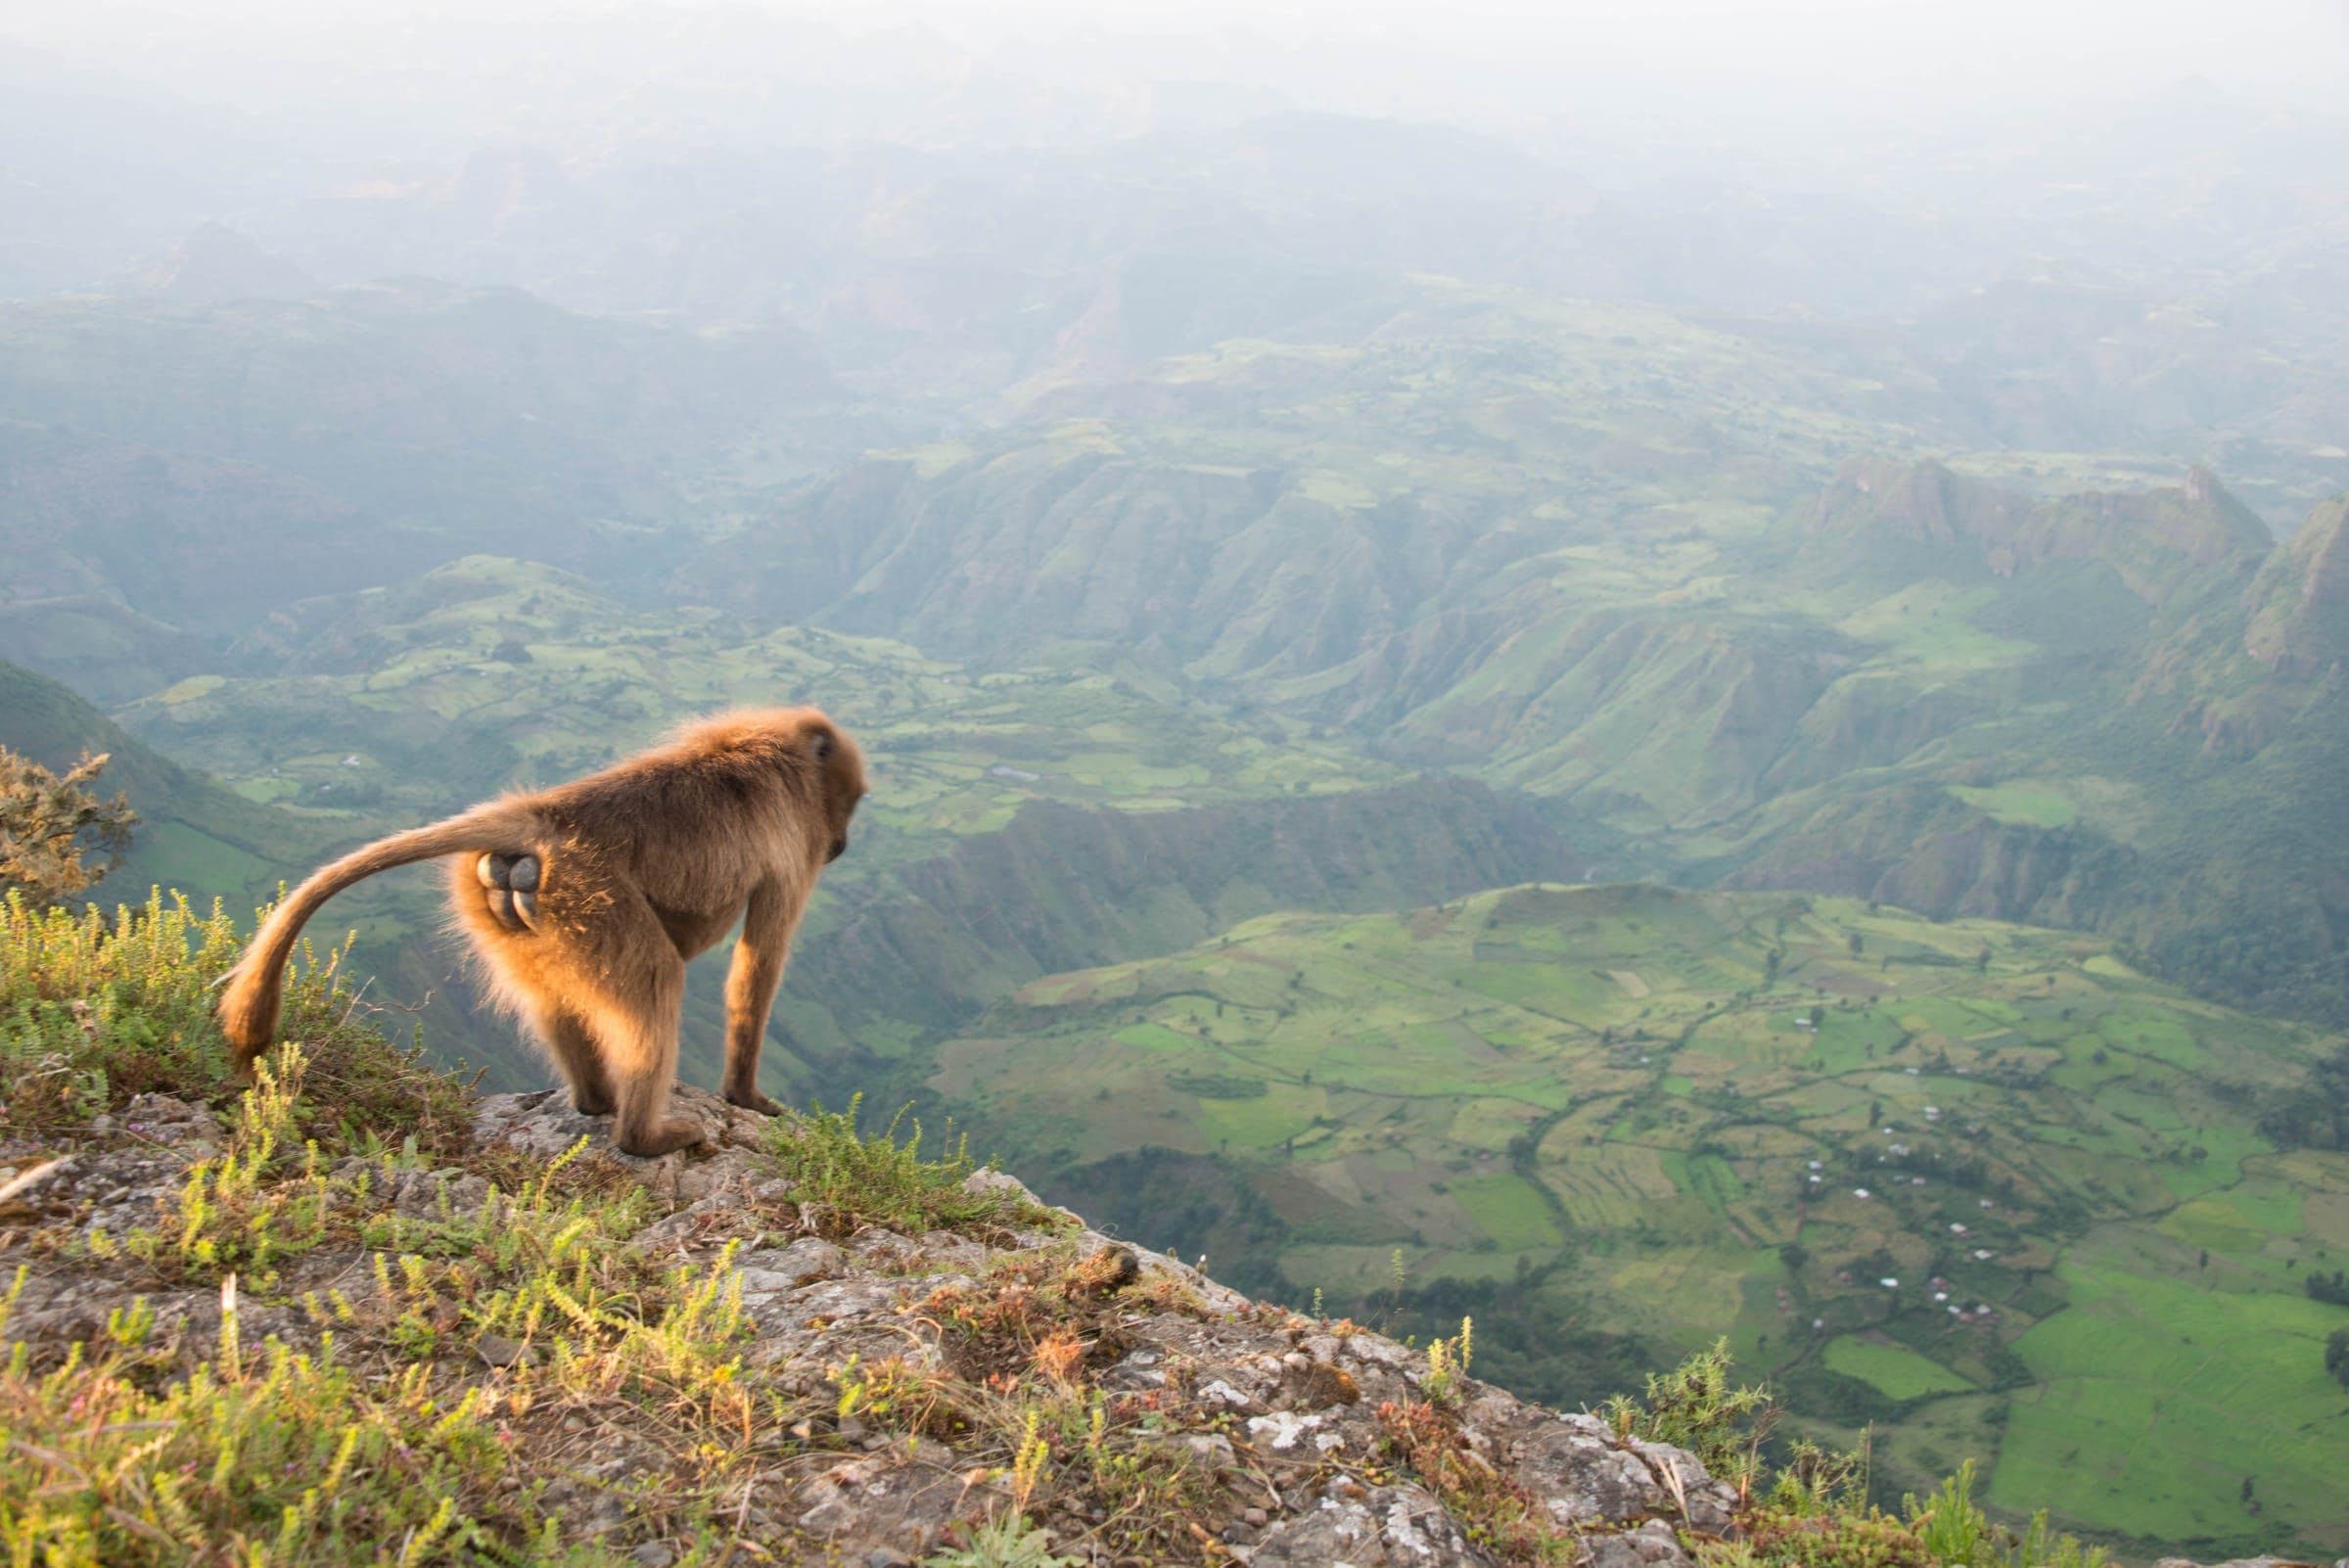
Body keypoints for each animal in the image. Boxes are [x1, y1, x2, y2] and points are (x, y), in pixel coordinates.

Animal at [216, 708, 866, 1156]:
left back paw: (597, 1101)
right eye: (853, 801)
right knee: (656, 978)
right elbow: (757, 970)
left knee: (555, 996)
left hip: (519, 908)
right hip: (594, 893)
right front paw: (746, 1097)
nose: (841, 844)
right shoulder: (792, 851)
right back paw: (641, 1137)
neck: (772, 753)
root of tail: (544, 819)